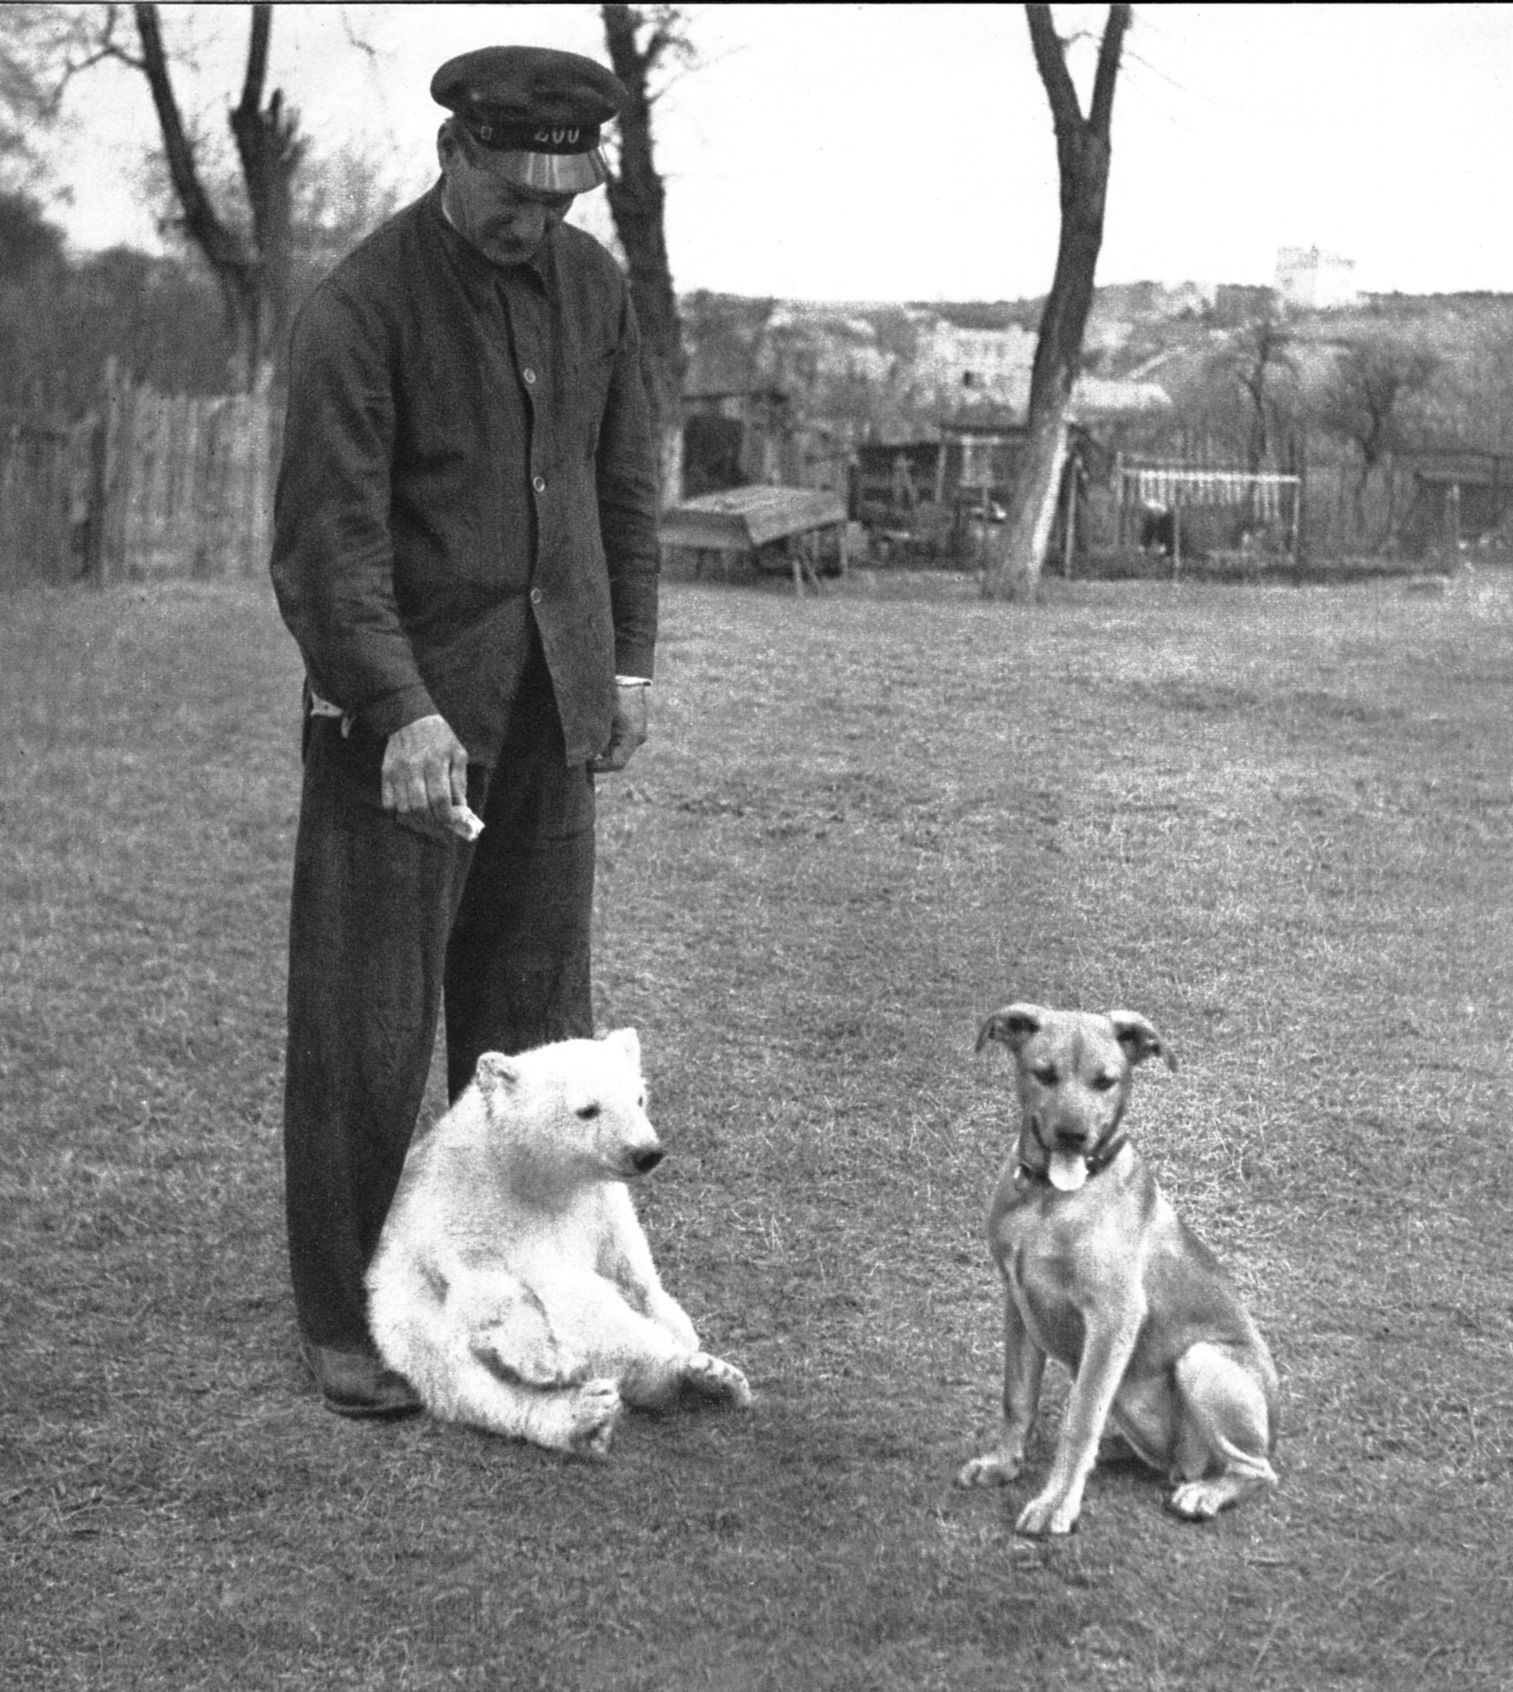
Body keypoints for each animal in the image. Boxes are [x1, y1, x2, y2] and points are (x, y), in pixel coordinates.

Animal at [961, 1001, 1279, 1536]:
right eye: (1044, 1075)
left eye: (1105, 1081)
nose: (1073, 1136)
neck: (1050, 1201)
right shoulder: (1017, 1302)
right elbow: (1017, 1397)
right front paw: (1003, 1464)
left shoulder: (1113, 1317)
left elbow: (1081, 1418)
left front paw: (1056, 1504)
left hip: (1203, 1361)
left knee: (1257, 1470)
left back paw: (1206, 1494)